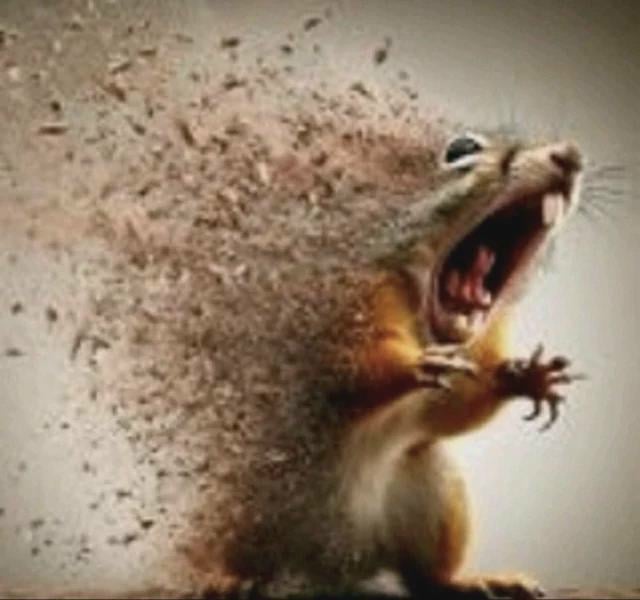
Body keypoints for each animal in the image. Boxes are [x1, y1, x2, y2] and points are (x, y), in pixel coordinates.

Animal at [180, 131, 585, 600]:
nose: (570, 156)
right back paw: (222, 577)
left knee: (425, 578)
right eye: (461, 149)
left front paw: (526, 376)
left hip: (434, 495)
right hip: (244, 512)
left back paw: (477, 581)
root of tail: (331, 563)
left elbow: (457, 409)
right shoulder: (347, 308)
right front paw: (414, 366)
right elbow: (350, 367)